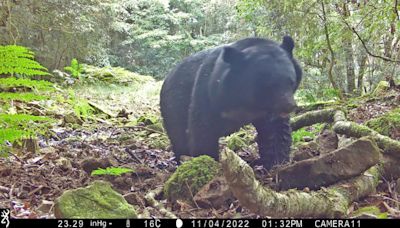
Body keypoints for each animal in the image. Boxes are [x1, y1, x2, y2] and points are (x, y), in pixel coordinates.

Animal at [159, 35, 304, 167]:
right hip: (174, 106)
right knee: (179, 135)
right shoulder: (208, 93)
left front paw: (277, 162)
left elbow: (276, 131)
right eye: (267, 86)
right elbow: (203, 130)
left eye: (291, 82)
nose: (288, 106)